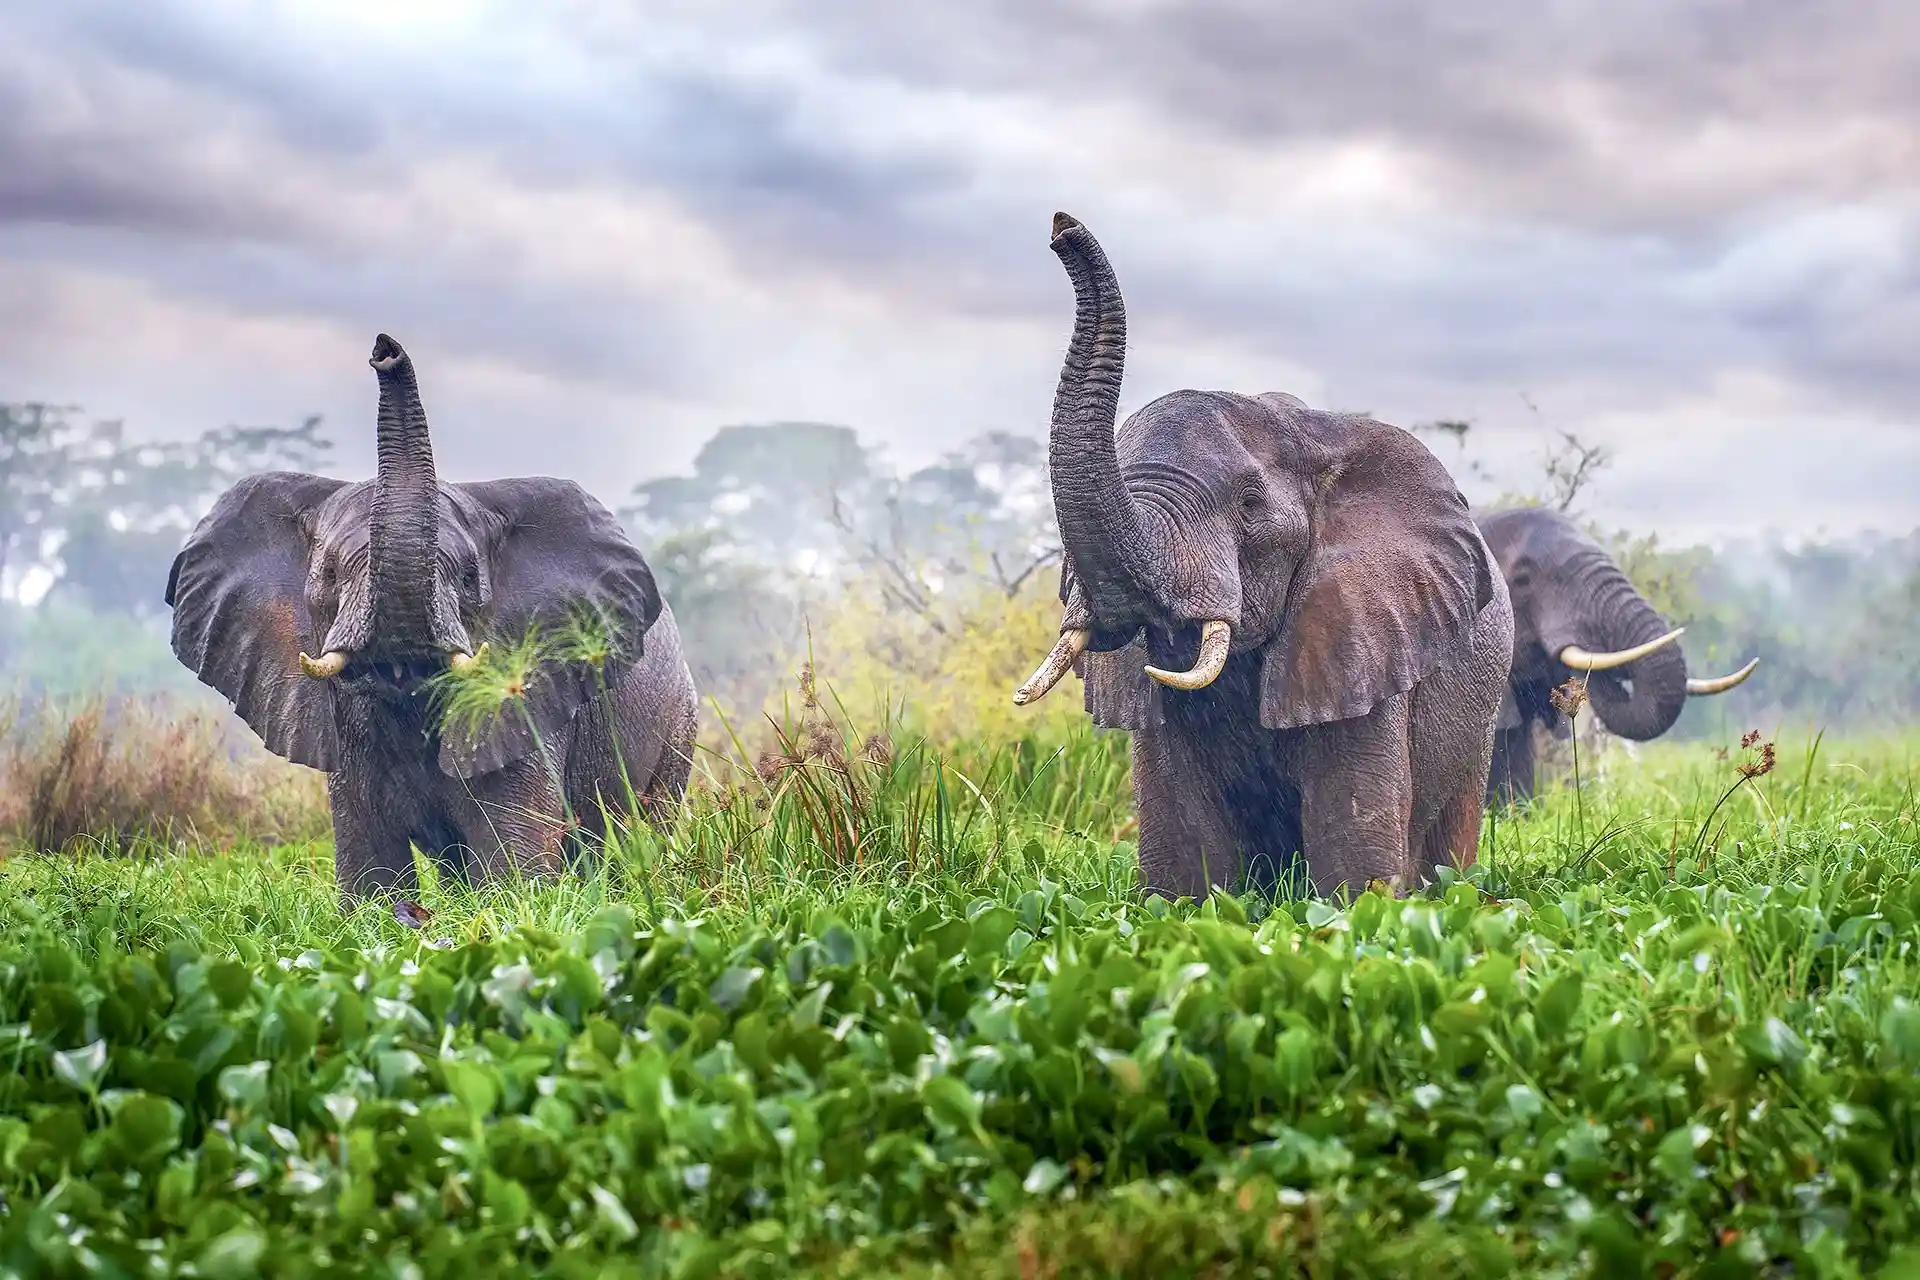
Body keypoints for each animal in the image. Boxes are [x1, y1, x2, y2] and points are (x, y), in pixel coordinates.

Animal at [165, 334, 698, 906]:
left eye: (467, 578)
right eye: (329, 575)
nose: (384, 350)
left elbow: (515, 863)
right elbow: (370, 869)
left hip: (678, 727)